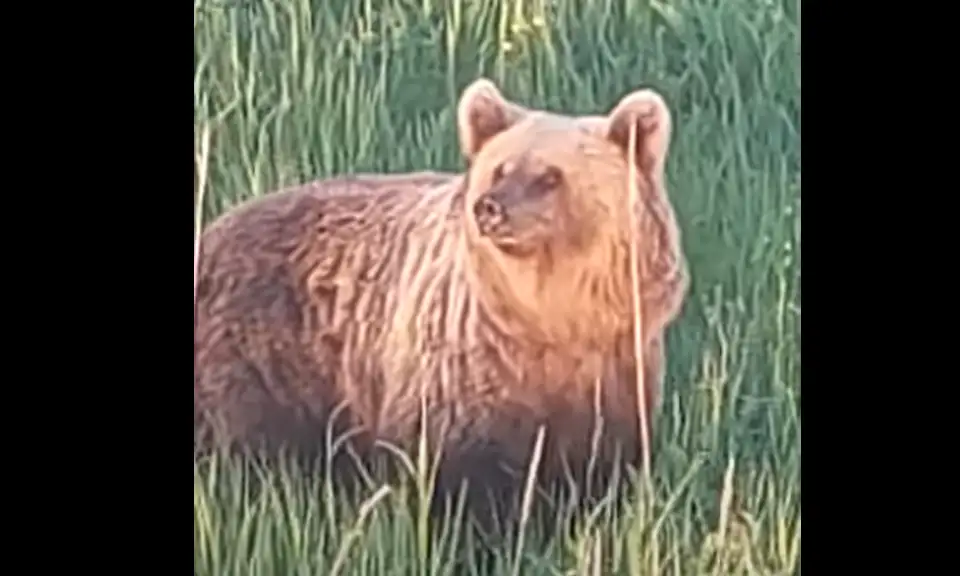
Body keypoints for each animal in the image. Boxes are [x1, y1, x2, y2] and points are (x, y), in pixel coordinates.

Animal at [194, 78, 689, 526]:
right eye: (500, 169)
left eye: (550, 176)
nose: (490, 207)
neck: (553, 317)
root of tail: (213, 229)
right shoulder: (466, 370)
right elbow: (459, 479)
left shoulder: (616, 372)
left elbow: (599, 476)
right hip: (260, 359)